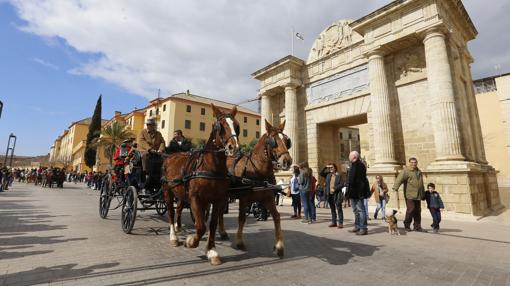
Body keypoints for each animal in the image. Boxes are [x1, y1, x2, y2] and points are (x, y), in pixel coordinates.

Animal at [163, 103, 241, 266]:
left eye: (237, 126)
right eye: (219, 126)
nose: (234, 147)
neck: (211, 167)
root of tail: (171, 156)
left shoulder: (218, 200)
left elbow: (212, 224)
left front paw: (211, 250)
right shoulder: (195, 198)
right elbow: (200, 226)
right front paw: (191, 241)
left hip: (181, 194)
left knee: (178, 209)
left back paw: (179, 228)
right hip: (167, 191)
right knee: (171, 212)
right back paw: (174, 236)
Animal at [218, 119, 292, 258]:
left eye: (287, 141)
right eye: (273, 141)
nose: (287, 161)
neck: (257, 170)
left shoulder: (268, 198)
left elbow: (277, 216)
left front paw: (279, 246)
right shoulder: (244, 199)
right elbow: (242, 218)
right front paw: (240, 242)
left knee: (219, 211)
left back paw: (222, 232)